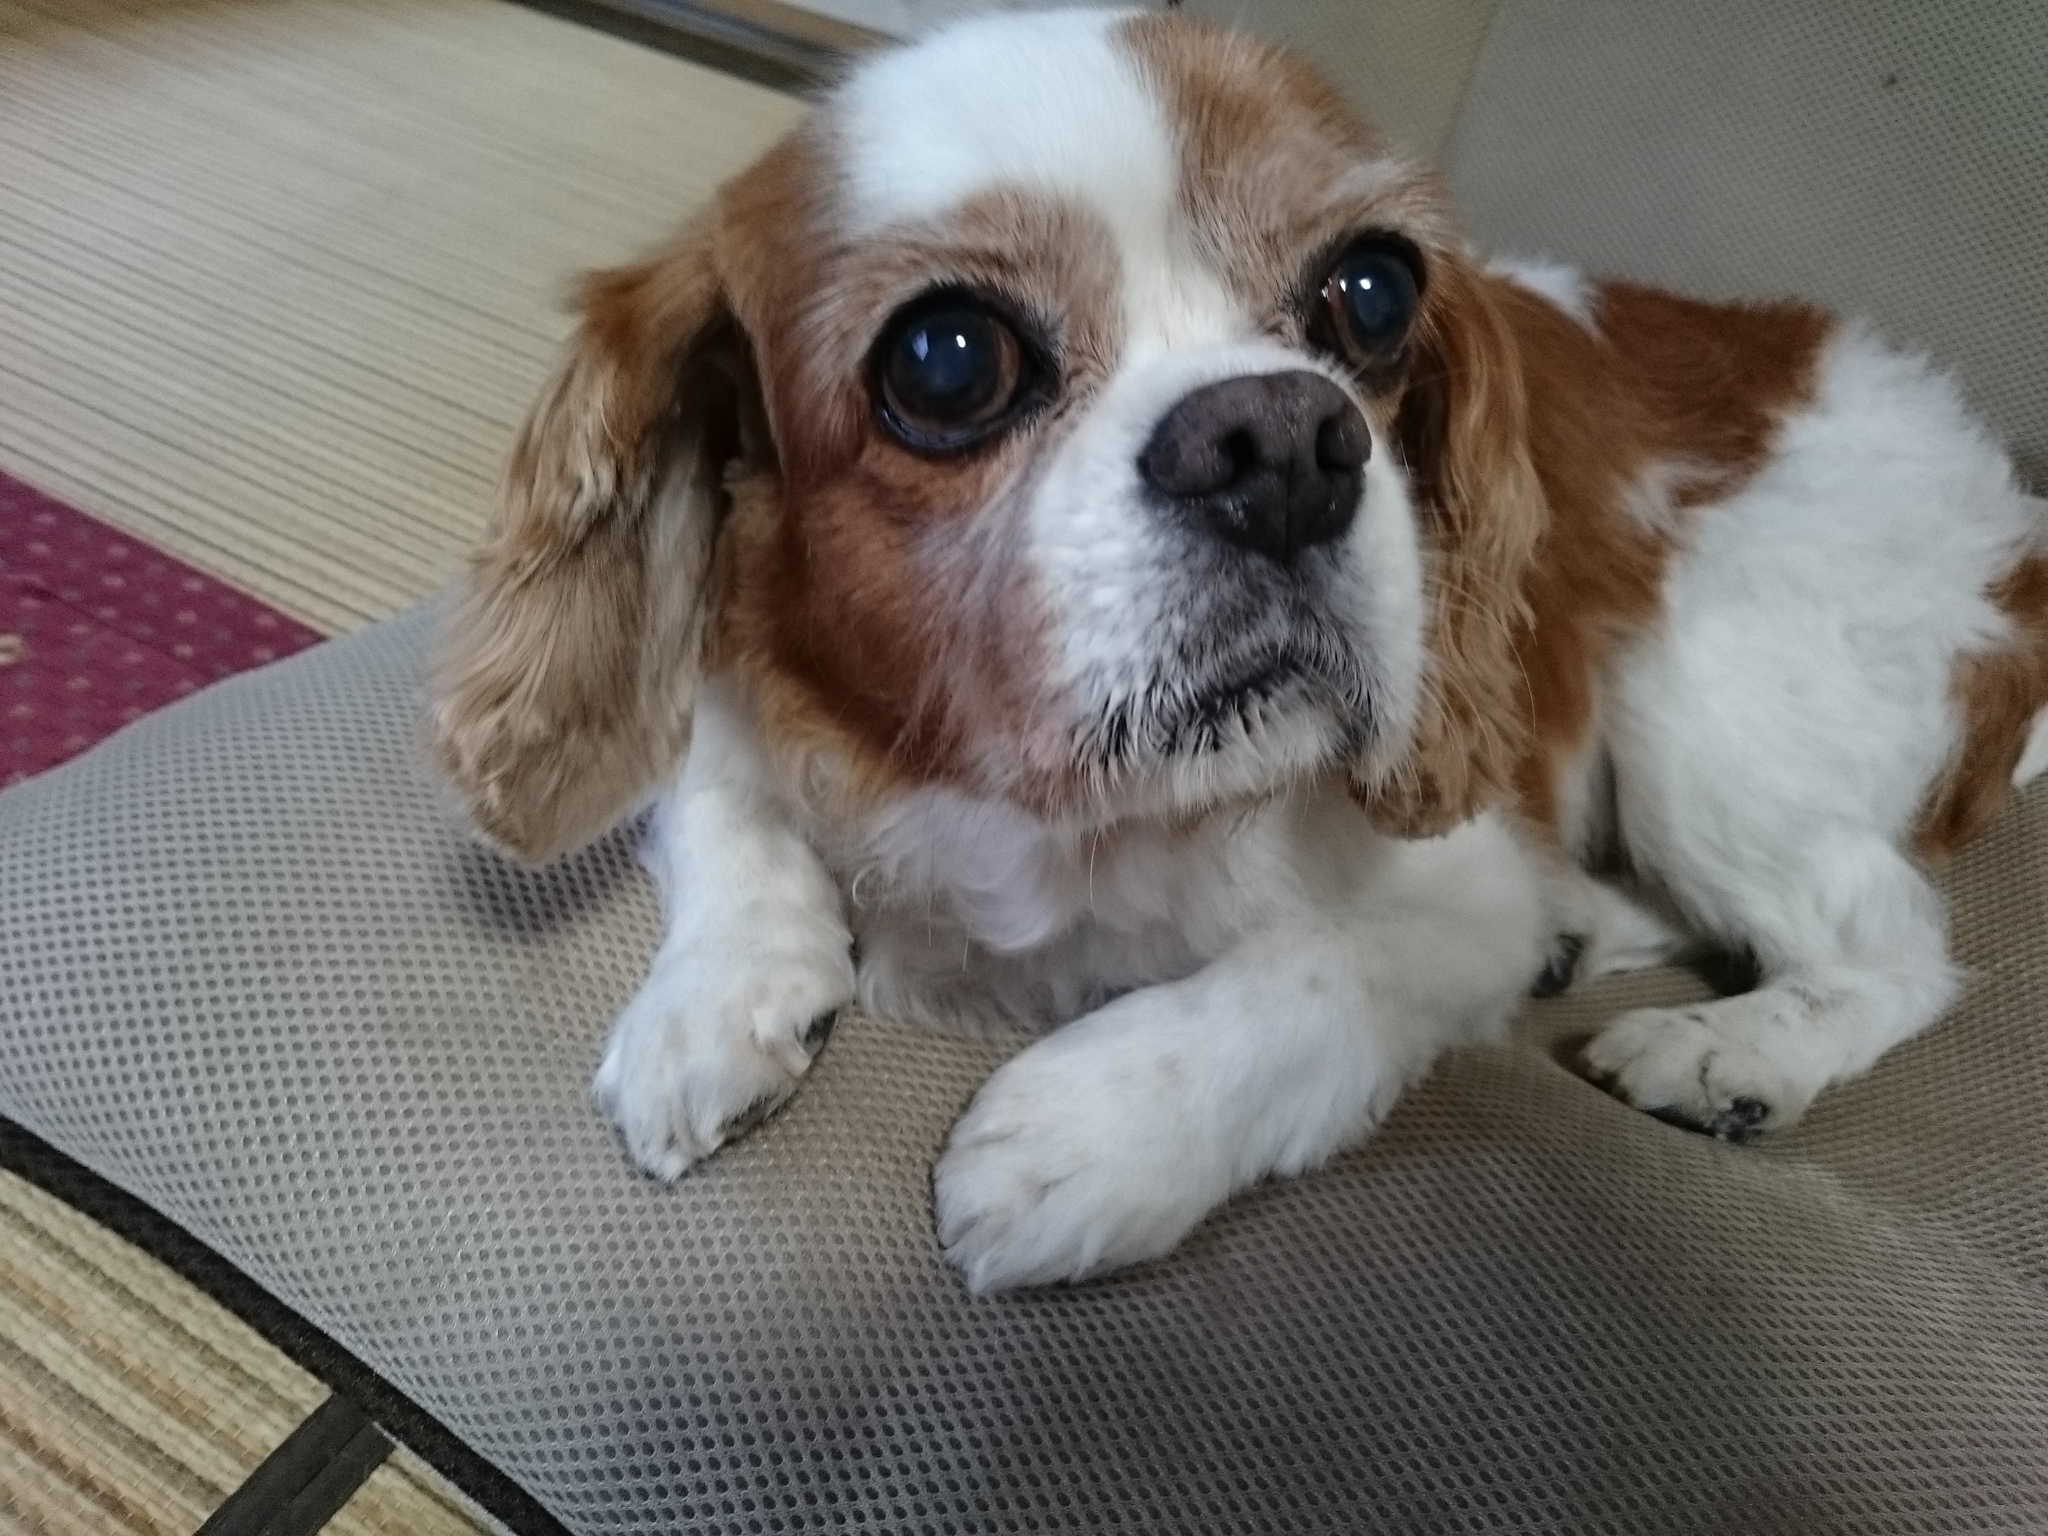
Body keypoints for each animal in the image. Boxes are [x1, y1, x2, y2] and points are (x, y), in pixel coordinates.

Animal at [427, 9, 2048, 1293]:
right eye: (945, 360)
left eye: (1373, 290)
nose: (1281, 442)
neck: (1047, 807)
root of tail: (2015, 517)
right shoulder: (730, 688)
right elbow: (718, 802)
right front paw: (712, 1001)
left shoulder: (1457, 893)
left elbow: (1312, 979)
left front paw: (1088, 1133)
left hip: (1701, 709)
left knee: (1890, 950)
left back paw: (1733, 1055)